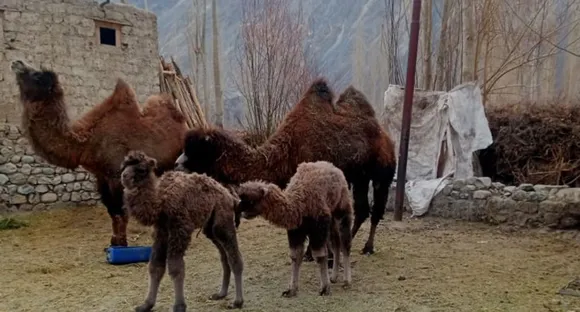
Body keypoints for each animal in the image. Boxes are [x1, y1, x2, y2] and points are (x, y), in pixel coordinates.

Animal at [10, 60, 188, 246]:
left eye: (37, 75)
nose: (17, 63)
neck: (87, 142)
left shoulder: (117, 176)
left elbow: (121, 212)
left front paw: (122, 243)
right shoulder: (101, 177)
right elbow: (112, 212)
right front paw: (113, 242)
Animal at [120, 150, 242, 310]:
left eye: (141, 169)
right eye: (124, 166)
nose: (124, 176)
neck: (161, 203)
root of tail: (230, 196)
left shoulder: (180, 229)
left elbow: (176, 268)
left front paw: (179, 306)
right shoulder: (161, 233)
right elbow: (155, 267)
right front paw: (146, 305)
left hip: (223, 219)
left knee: (233, 255)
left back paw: (237, 301)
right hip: (210, 227)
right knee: (223, 255)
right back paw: (220, 294)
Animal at [174, 78, 396, 258]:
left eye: (197, 150)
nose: (176, 164)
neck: (287, 151)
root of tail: (385, 136)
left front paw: (313, 254)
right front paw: (313, 253)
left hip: (382, 173)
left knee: (376, 209)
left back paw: (367, 247)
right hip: (360, 176)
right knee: (362, 209)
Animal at [233, 161, 352, 298]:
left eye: (252, 200)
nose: (240, 210)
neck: (298, 205)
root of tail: (335, 168)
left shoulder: (318, 228)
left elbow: (320, 255)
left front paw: (324, 289)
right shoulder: (295, 231)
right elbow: (295, 256)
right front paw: (291, 290)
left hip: (342, 210)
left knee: (345, 242)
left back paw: (346, 281)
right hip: (331, 219)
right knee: (336, 242)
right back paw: (334, 277)